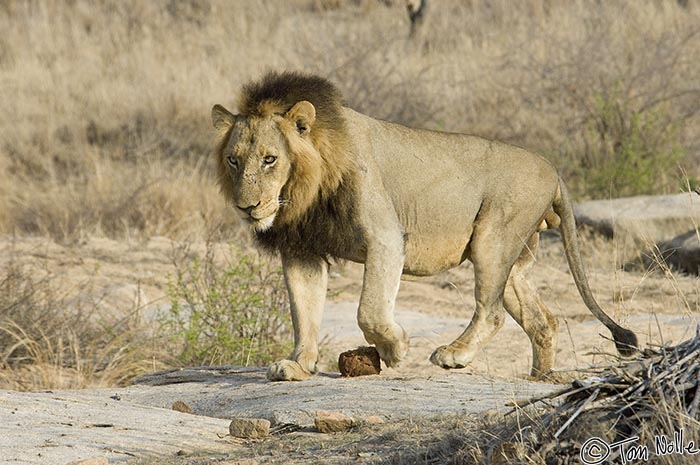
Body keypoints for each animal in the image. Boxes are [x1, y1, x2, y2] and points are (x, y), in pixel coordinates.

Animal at [211, 70, 636, 380]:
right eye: (234, 160)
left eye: (270, 159)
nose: (248, 207)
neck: (305, 192)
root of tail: (553, 169)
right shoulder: (302, 250)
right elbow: (304, 311)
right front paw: (298, 364)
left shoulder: (386, 237)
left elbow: (369, 309)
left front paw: (395, 348)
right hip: (516, 258)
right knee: (541, 320)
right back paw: (540, 378)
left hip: (492, 238)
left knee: (492, 310)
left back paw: (455, 354)